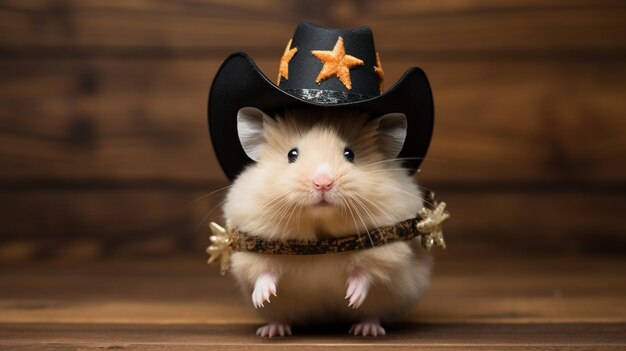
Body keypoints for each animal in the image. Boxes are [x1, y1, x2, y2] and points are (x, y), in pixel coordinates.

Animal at [222, 106, 432, 336]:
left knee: (372, 314)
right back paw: (272, 331)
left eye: (350, 154)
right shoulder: (254, 248)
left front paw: (352, 298)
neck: (320, 232)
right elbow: (264, 272)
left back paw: (366, 330)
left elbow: (365, 272)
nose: (323, 183)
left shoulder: (387, 250)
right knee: (281, 315)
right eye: (291, 154)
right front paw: (261, 298)